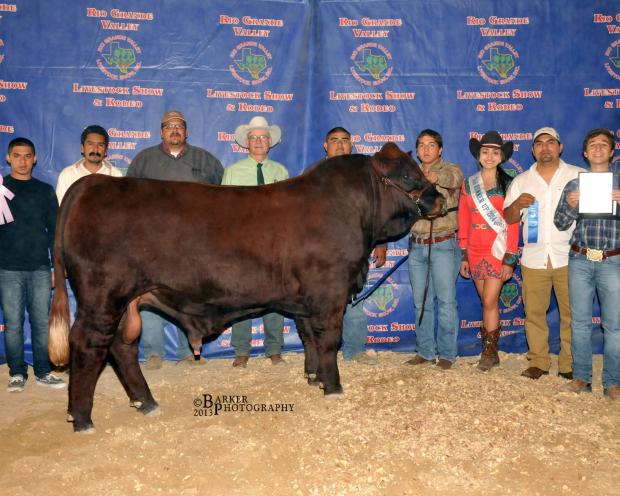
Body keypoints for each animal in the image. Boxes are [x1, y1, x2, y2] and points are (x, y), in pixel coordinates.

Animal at [50, 141, 444, 432]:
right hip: (102, 295)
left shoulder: (307, 299)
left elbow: (310, 337)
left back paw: (146, 402)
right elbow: (330, 338)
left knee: (121, 345)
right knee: (88, 344)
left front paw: (313, 377)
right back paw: (82, 418)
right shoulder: (330, 290)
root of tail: (94, 183)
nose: (438, 198)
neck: (352, 209)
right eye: (407, 174)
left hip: (124, 300)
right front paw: (333, 386)